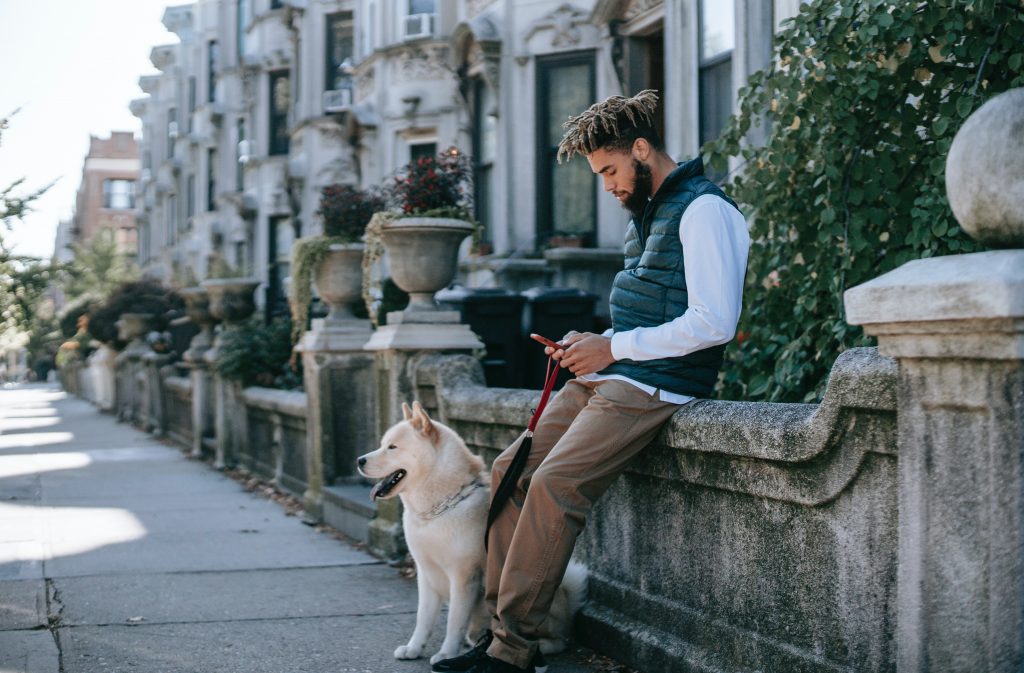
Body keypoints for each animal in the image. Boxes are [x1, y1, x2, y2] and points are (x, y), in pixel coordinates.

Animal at [358, 401, 585, 663]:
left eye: (392, 447)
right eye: (383, 444)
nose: (359, 460)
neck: (440, 508)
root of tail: (567, 607)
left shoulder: (464, 577)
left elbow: (454, 621)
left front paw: (446, 653)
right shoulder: (426, 574)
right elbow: (423, 618)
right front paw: (414, 648)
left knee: (557, 642)